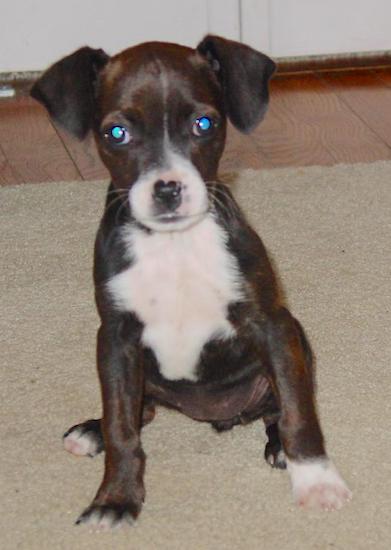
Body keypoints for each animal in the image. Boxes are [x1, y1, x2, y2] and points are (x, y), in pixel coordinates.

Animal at [31, 35, 352, 532]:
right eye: (115, 133)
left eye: (205, 124)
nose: (168, 189)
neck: (173, 245)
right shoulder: (117, 338)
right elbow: (122, 427)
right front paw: (115, 498)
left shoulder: (272, 326)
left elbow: (299, 411)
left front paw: (316, 481)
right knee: (137, 408)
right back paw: (91, 430)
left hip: (294, 337)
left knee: (276, 407)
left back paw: (278, 447)